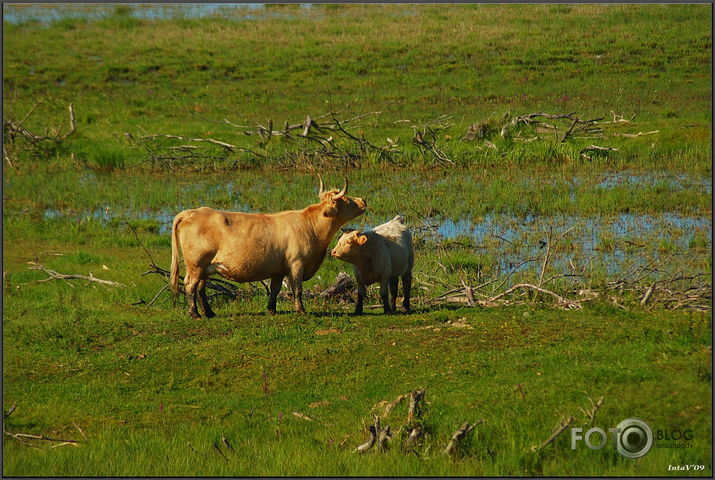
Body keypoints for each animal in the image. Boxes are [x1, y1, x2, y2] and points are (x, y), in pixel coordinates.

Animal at [171, 176, 366, 318]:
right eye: (347, 199)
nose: (363, 200)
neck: (310, 226)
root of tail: (192, 212)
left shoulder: (278, 269)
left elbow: (275, 290)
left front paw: (271, 309)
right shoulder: (297, 264)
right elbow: (297, 289)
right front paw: (301, 310)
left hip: (205, 267)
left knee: (201, 289)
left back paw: (209, 313)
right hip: (196, 264)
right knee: (190, 285)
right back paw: (194, 314)